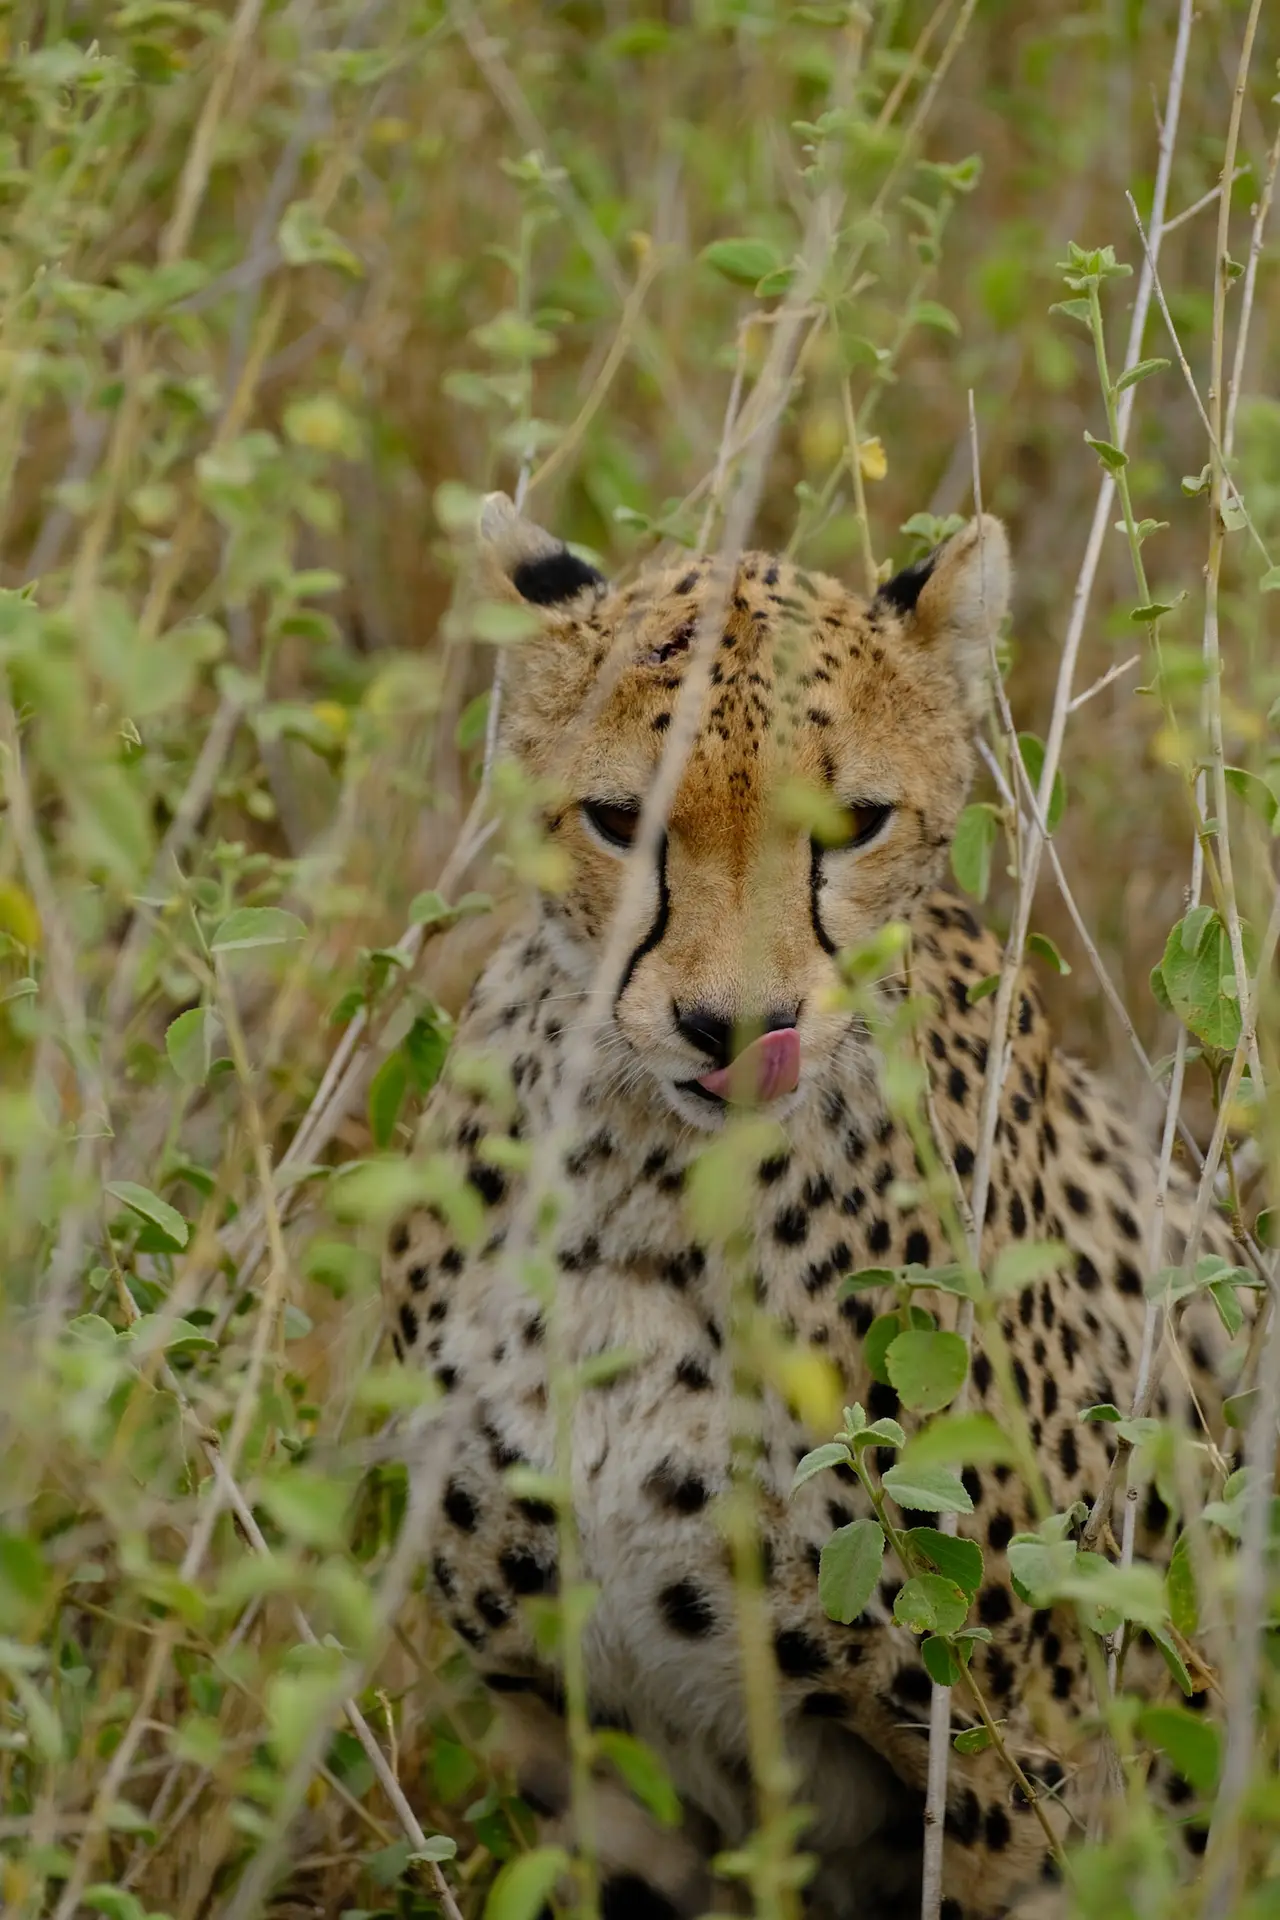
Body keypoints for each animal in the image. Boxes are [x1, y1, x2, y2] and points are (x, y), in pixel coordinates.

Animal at [381, 492, 1246, 1920]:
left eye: (854, 825)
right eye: (618, 820)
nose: (734, 1029)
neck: (648, 1190)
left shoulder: (1024, 1750)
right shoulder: (584, 1743)